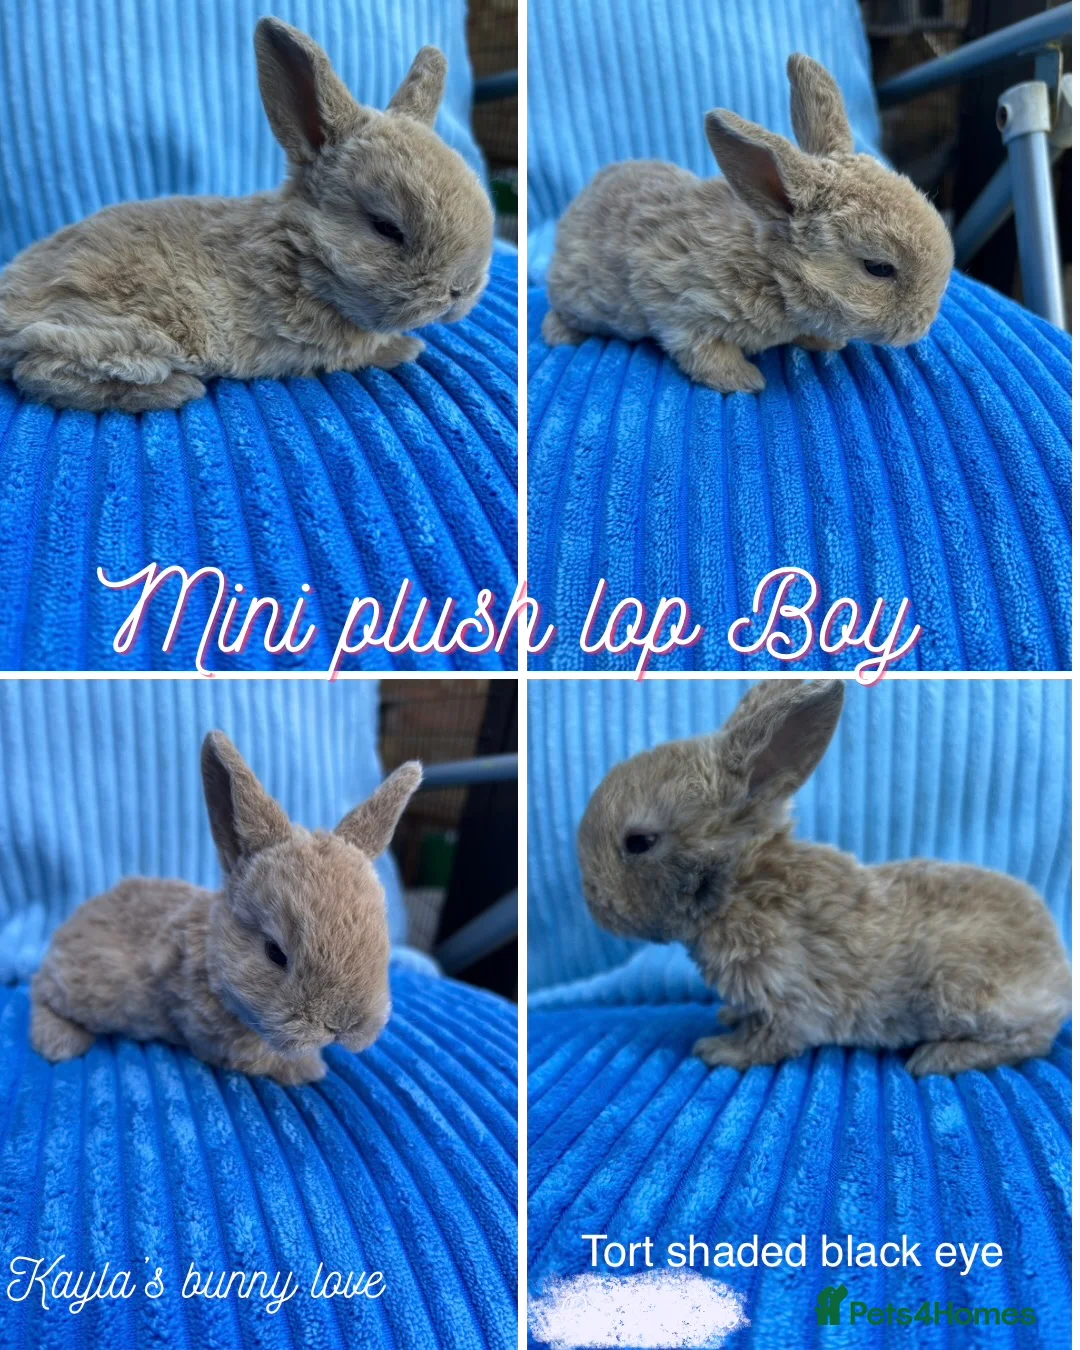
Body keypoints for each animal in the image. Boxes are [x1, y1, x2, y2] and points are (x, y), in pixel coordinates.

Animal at [0, 17, 494, 413]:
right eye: (386, 228)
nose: (461, 290)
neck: (301, 254)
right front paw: (406, 348)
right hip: (129, 334)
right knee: (38, 369)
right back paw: (176, 391)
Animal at [30, 731, 422, 1085]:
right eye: (274, 953)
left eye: (381, 944)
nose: (340, 1025)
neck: (211, 955)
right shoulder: (213, 1034)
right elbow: (262, 1058)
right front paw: (309, 1069)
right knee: (38, 991)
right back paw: (59, 1042)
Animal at [542, 54, 953, 393]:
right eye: (878, 268)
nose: (922, 325)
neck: (771, 271)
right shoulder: (680, 306)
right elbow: (703, 352)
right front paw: (747, 382)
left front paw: (824, 342)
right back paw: (559, 335)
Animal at [577, 680, 1071, 1077]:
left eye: (639, 842)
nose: (594, 904)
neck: (739, 884)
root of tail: (1058, 967)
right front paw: (729, 1021)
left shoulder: (785, 992)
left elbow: (774, 1037)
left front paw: (720, 1050)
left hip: (959, 992)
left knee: (1034, 1037)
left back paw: (940, 1057)